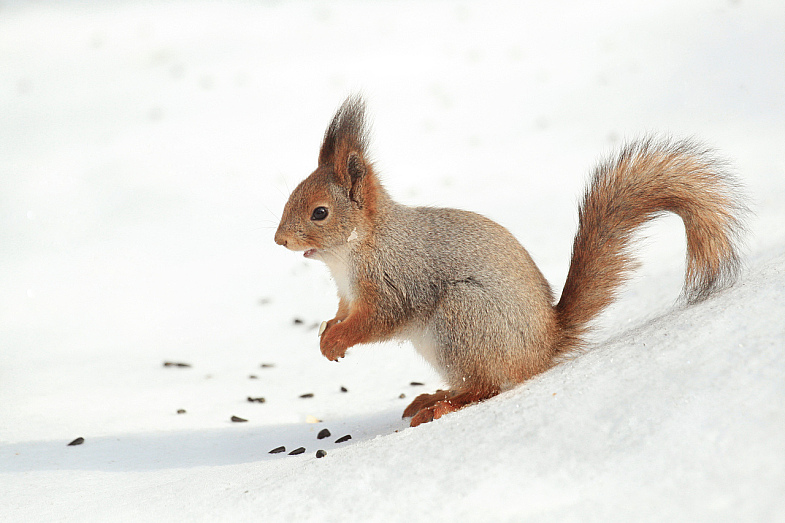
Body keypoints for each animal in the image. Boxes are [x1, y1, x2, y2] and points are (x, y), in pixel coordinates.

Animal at [276, 96, 748, 428]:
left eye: (320, 213)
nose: (279, 240)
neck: (352, 253)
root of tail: (545, 346)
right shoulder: (348, 294)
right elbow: (343, 312)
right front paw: (327, 332)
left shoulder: (398, 278)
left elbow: (377, 320)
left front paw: (338, 341)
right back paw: (433, 397)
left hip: (463, 320)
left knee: (487, 387)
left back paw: (442, 405)